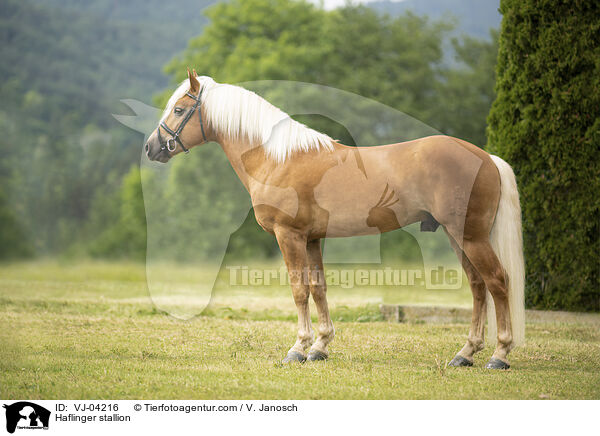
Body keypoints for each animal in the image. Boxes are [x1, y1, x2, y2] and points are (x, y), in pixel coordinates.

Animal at [145, 70, 524, 370]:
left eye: (179, 109)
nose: (151, 147)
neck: (276, 157)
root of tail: (486, 157)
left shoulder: (289, 235)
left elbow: (299, 290)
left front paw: (298, 348)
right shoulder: (312, 238)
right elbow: (318, 288)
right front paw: (320, 347)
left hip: (471, 236)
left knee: (497, 282)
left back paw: (500, 355)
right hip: (457, 236)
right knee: (477, 287)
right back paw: (465, 354)